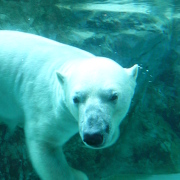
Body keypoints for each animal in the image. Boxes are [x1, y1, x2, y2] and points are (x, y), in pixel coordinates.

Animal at [0, 31, 138, 180]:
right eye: (75, 99)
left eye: (114, 96)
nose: (93, 136)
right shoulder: (49, 109)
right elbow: (45, 144)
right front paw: (79, 175)